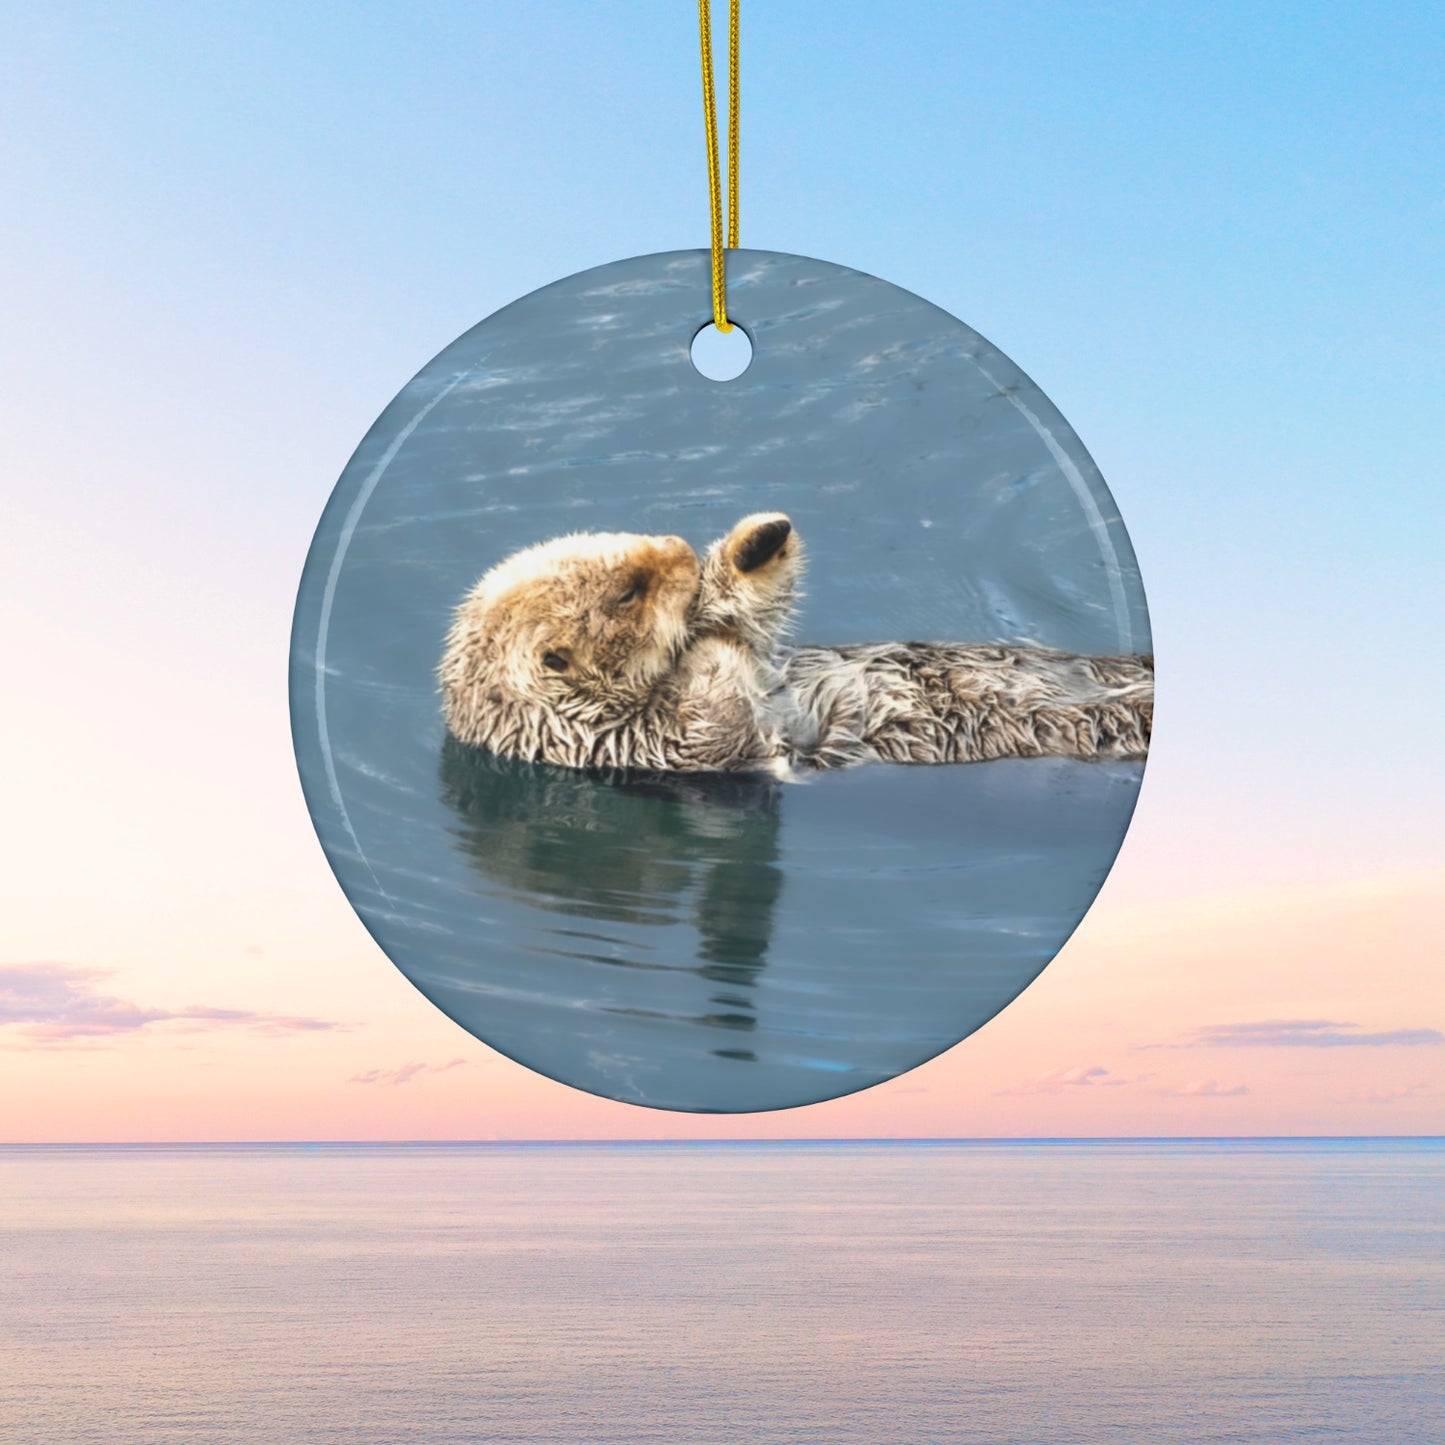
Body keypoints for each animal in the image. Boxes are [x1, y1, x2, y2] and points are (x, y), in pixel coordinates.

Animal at [438, 513, 1153, 774]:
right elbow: (715, 719)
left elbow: (754, 626)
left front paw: (755, 545)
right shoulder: (640, 744)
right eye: (628, 593)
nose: (678, 550)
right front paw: (707, 639)